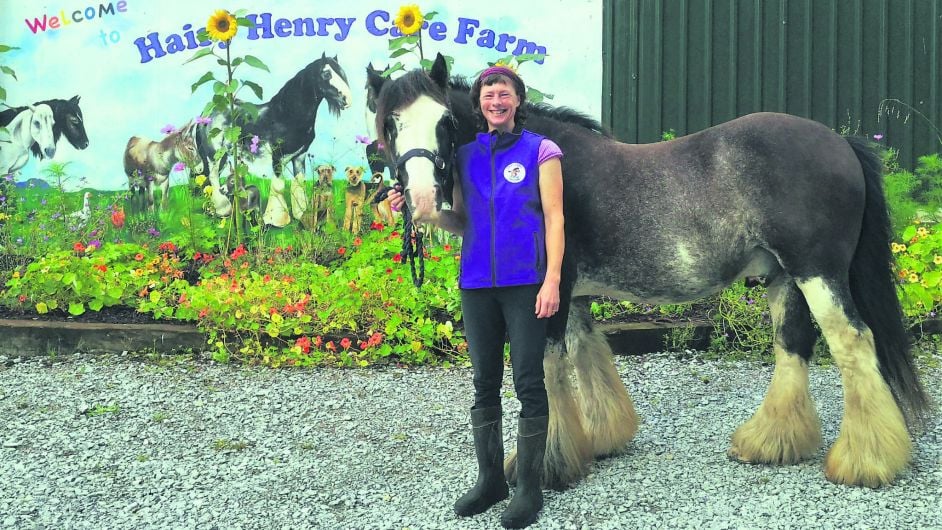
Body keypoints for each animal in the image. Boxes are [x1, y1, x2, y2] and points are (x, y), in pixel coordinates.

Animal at [195, 52, 354, 182]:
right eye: (327, 74)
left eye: (342, 74)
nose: (347, 100)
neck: (287, 116)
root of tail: (205, 116)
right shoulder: (278, 158)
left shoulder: (299, 157)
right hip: (216, 157)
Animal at [370, 53, 936, 486]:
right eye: (390, 125)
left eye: (445, 122)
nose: (421, 198)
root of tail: (841, 143)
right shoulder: (574, 295)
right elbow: (589, 357)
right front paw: (601, 439)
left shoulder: (549, 295)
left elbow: (551, 372)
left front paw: (548, 467)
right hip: (783, 276)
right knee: (792, 344)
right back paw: (770, 441)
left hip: (818, 272)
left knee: (852, 343)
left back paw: (865, 463)